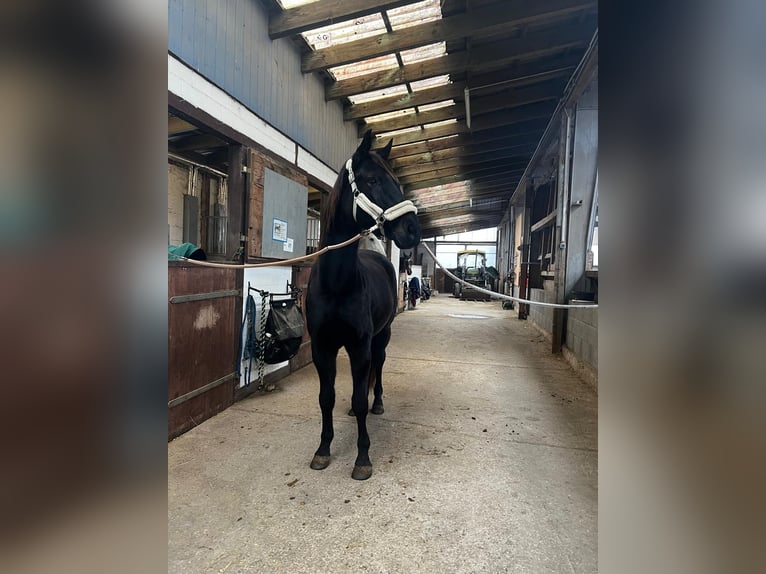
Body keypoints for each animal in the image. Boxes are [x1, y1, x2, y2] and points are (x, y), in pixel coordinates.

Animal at [306, 132, 424, 482]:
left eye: (397, 182)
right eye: (372, 180)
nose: (413, 230)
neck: (336, 284)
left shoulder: (360, 346)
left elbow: (360, 400)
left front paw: (362, 458)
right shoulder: (323, 347)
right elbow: (326, 398)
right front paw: (323, 450)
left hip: (381, 337)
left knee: (379, 365)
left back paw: (379, 402)